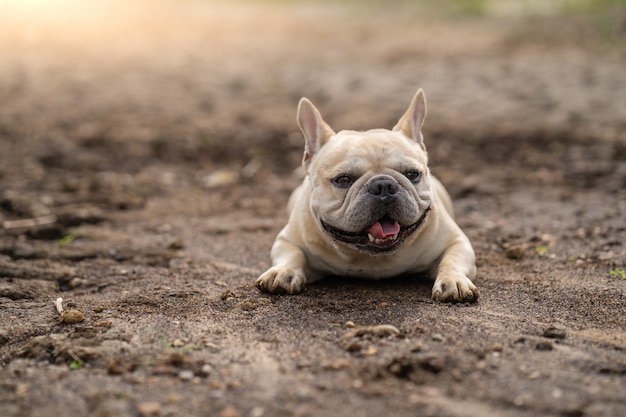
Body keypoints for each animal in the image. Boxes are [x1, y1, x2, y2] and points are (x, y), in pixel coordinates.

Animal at [254, 89, 478, 300]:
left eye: (413, 174)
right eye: (343, 180)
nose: (383, 186)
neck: (373, 259)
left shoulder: (457, 241)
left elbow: (452, 259)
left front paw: (454, 281)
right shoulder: (287, 239)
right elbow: (292, 254)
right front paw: (283, 272)